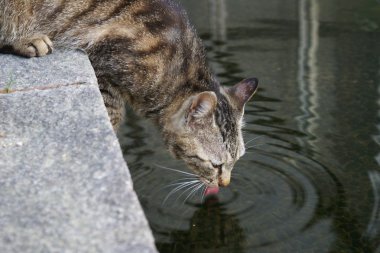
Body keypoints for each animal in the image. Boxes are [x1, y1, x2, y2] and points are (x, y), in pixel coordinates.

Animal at [0, 0, 258, 190]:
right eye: (215, 164)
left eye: (236, 160)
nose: (225, 184)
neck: (179, 67)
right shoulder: (104, 67)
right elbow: (113, 110)